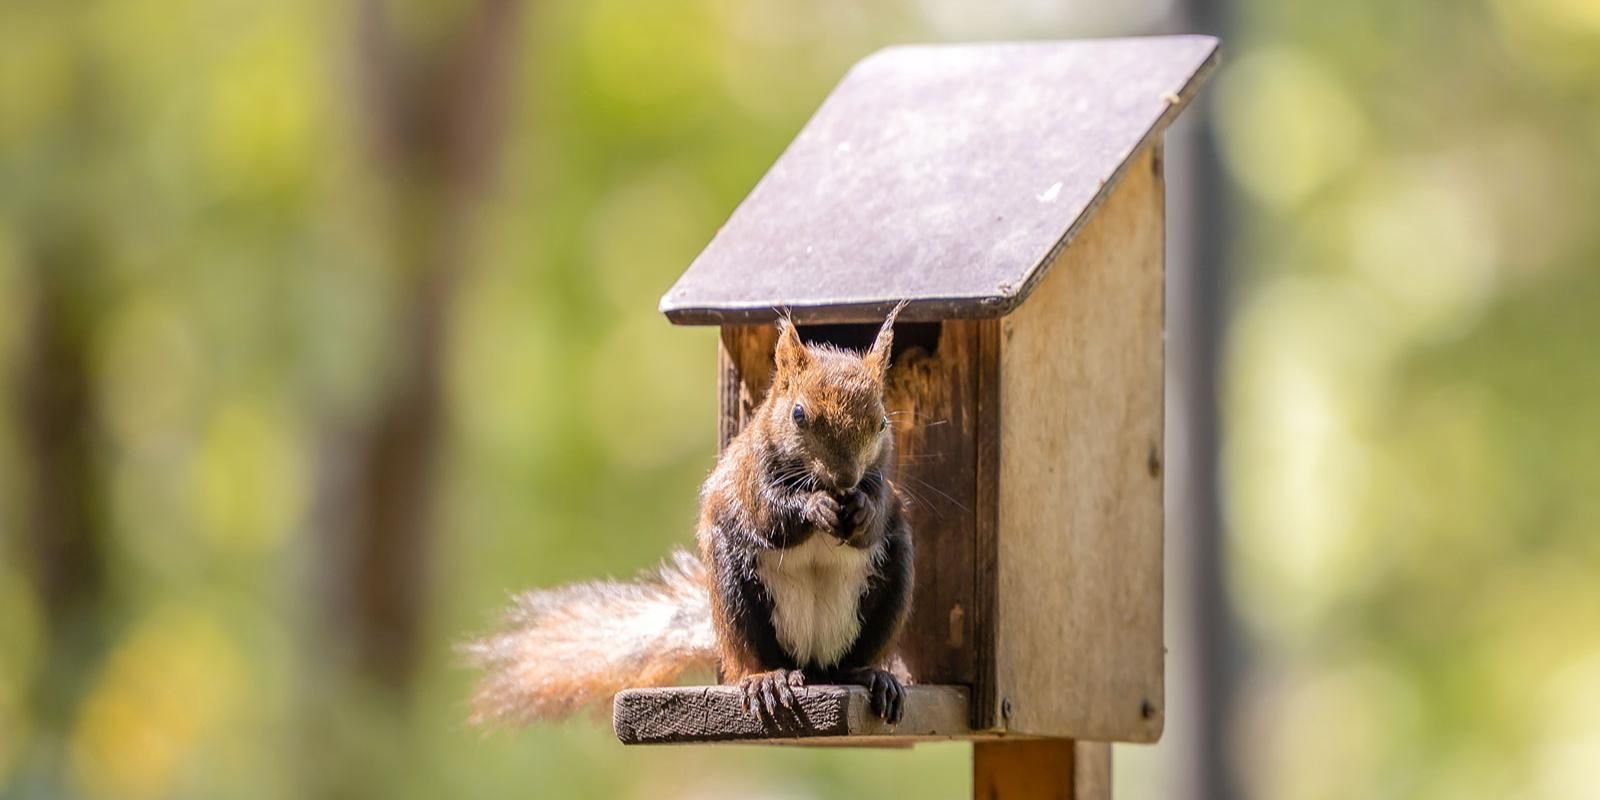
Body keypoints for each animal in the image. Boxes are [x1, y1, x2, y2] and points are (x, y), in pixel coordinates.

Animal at [465, 303, 913, 726]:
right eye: (798, 415)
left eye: (882, 423)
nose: (845, 478)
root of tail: (814, 664)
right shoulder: (748, 477)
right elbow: (769, 515)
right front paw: (813, 507)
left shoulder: (884, 487)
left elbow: (877, 514)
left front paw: (861, 509)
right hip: (735, 594)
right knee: (754, 657)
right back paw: (767, 679)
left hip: (894, 581)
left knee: (854, 658)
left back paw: (871, 676)